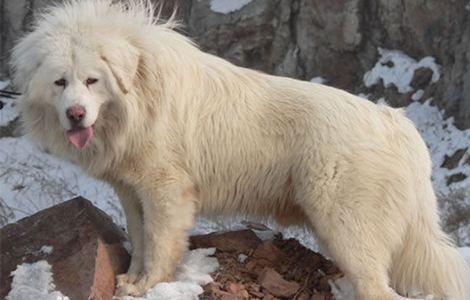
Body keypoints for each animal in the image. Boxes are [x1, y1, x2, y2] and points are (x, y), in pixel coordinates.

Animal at [9, 1, 468, 298]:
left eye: (92, 80)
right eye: (60, 83)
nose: (76, 115)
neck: (140, 92)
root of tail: (397, 124)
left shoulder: (165, 190)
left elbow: (158, 242)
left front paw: (149, 285)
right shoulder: (132, 190)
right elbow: (139, 239)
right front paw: (132, 280)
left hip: (347, 227)